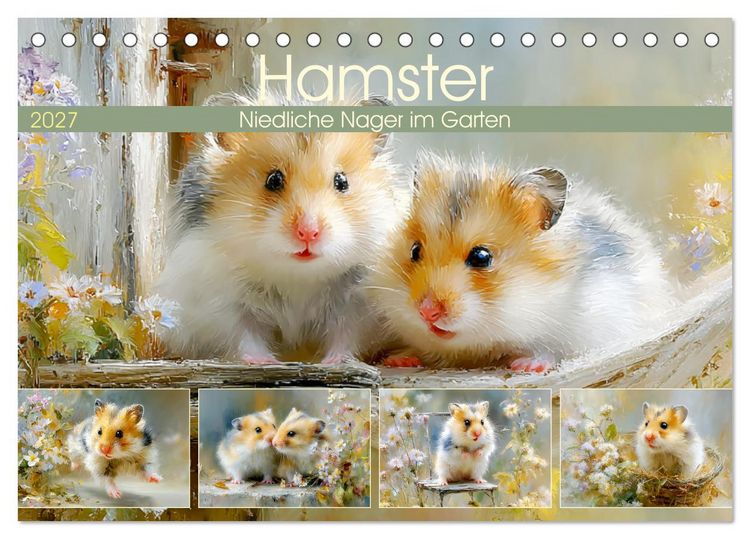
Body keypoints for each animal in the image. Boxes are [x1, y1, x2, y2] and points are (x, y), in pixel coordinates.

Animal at [156, 92, 407, 365]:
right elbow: (245, 335)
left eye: (342, 181)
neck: (297, 276)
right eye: (273, 180)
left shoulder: (356, 304)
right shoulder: (221, 301)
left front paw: (333, 362)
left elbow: (346, 336)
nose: (308, 232)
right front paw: (266, 362)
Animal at [371, 152, 674, 372]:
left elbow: (550, 349)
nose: (426, 312)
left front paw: (525, 365)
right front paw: (398, 359)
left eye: (481, 257)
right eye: (414, 251)